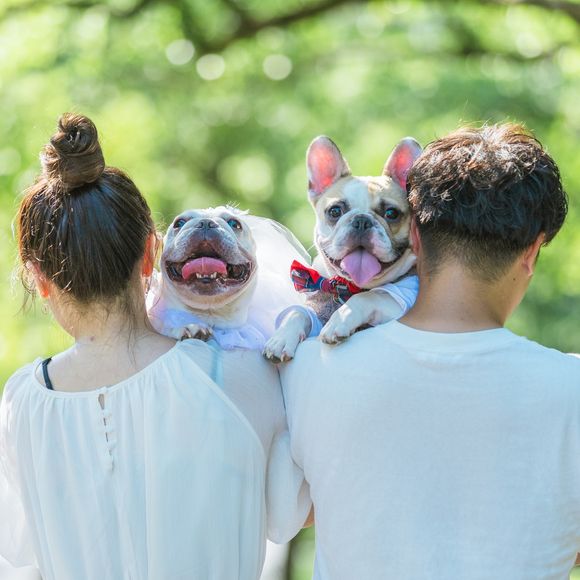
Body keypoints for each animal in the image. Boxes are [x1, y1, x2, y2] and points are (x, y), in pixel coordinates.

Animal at [263, 135, 422, 362]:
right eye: (335, 211)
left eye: (391, 213)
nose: (362, 221)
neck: (347, 287)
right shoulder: (318, 307)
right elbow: (298, 312)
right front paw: (281, 338)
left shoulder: (402, 302)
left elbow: (369, 296)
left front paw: (340, 319)